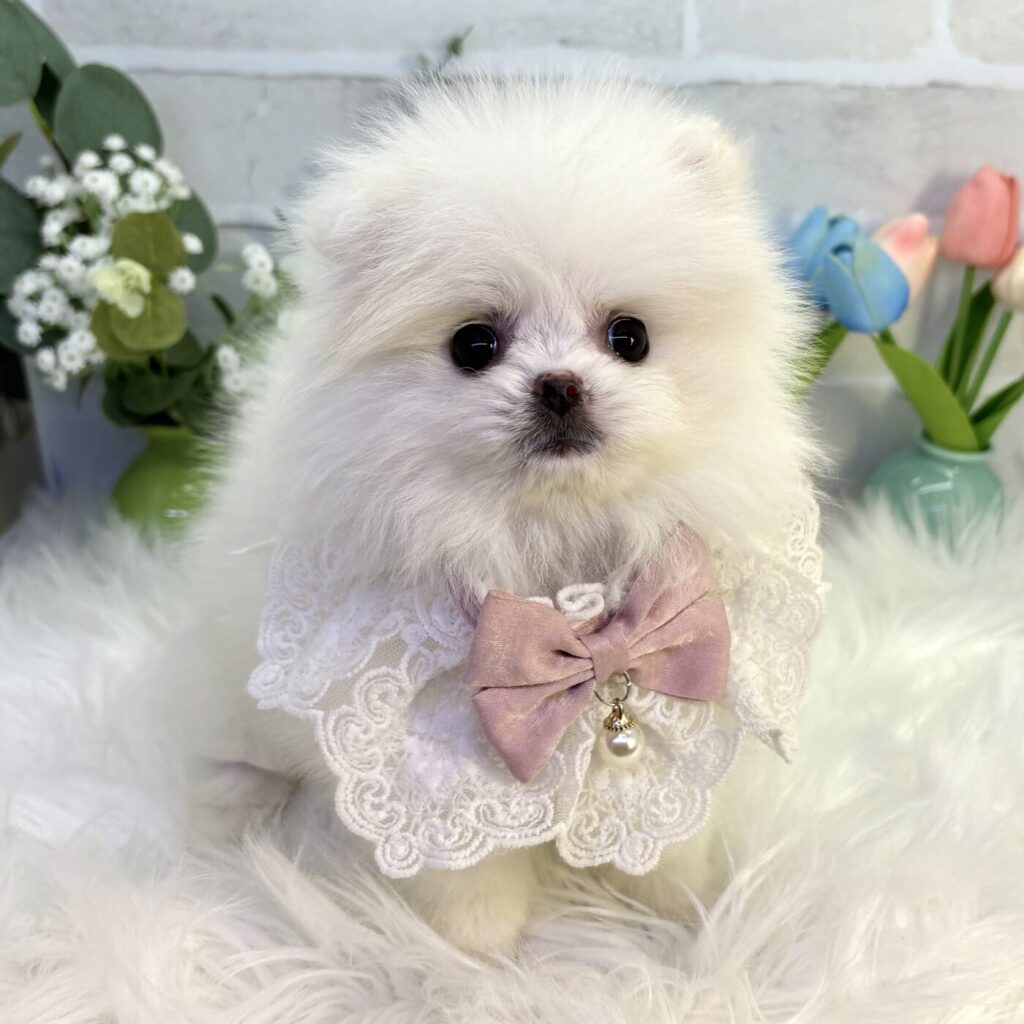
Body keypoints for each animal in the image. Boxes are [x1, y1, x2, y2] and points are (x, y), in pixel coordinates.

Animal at [166, 71, 822, 957]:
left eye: (630, 336)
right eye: (474, 345)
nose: (559, 385)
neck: (548, 537)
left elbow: (668, 837)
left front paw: (684, 919)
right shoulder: (428, 748)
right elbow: (469, 872)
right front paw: (481, 958)